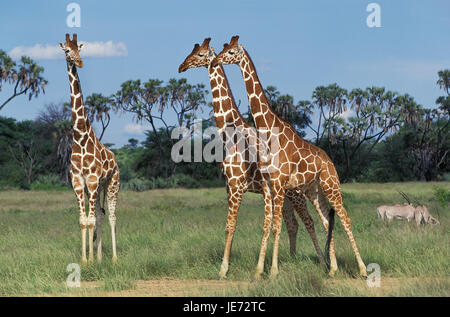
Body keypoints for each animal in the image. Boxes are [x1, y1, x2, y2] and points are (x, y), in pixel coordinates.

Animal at [59, 33, 120, 262]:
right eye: (67, 50)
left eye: (80, 49)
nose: (79, 62)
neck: (80, 136)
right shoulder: (79, 182)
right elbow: (83, 220)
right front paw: (86, 260)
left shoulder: (92, 181)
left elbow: (91, 219)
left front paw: (91, 260)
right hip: (98, 187)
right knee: (101, 215)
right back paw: (101, 257)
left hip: (112, 184)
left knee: (111, 216)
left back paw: (114, 258)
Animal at [177, 38, 326, 278]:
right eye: (192, 50)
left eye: (200, 54)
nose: (181, 66)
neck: (229, 136)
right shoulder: (229, 186)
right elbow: (233, 226)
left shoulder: (237, 185)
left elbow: (231, 226)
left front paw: (224, 270)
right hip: (284, 195)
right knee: (292, 223)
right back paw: (292, 259)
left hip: (294, 194)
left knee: (308, 221)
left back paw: (321, 262)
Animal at [213, 35, 368, 278]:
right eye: (222, 48)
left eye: (230, 52)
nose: (215, 61)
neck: (268, 129)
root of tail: (330, 161)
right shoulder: (270, 186)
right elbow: (272, 225)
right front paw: (261, 270)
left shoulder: (278, 185)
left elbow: (277, 226)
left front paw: (273, 271)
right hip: (313, 190)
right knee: (327, 220)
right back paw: (332, 269)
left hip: (331, 185)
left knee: (344, 218)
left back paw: (362, 269)